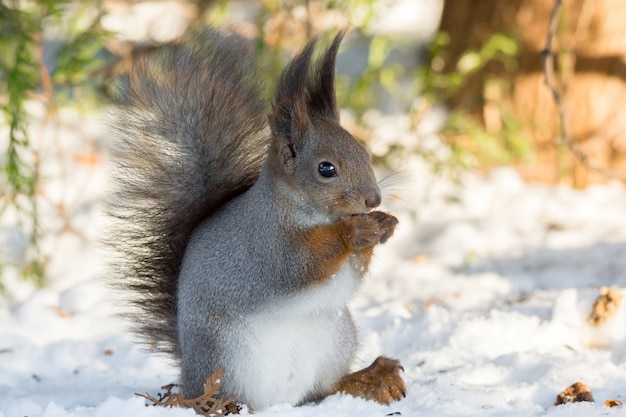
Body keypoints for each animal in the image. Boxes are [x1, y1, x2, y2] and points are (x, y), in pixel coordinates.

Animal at [107, 28, 404, 410]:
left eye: (365, 153)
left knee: (324, 390)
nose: (373, 199)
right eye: (326, 169)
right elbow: (303, 263)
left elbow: (351, 276)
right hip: (228, 358)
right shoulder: (267, 246)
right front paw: (354, 230)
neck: (310, 213)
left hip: (335, 338)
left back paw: (370, 379)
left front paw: (382, 226)